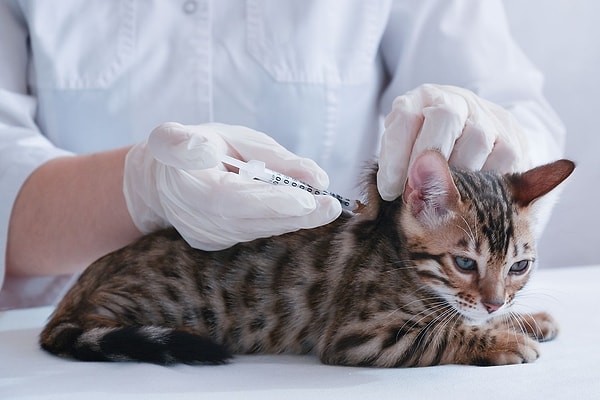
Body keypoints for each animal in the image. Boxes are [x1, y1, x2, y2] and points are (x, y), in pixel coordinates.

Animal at [39, 151, 576, 368]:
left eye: (519, 267)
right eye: (465, 264)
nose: (494, 303)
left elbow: (462, 317)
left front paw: (525, 319)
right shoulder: (361, 336)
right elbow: (443, 332)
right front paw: (502, 339)